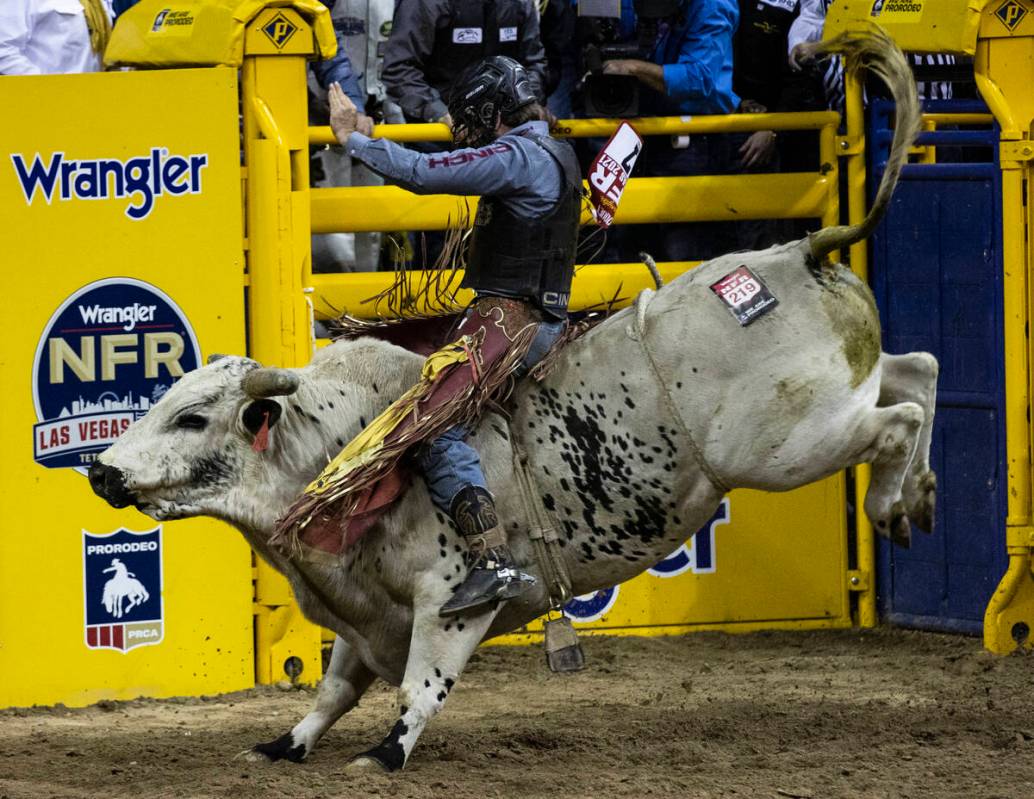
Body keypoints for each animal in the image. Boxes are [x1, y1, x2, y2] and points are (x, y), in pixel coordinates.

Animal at [90, 32, 938, 773]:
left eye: (193, 417)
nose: (102, 470)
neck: (331, 446)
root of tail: (804, 249)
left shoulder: (447, 602)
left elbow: (421, 683)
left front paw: (386, 752)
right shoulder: (363, 613)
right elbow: (332, 688)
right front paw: (284, 742)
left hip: (787, 444)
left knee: (898, 418)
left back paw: (890, 504)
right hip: (835, 398)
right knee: (919, 372)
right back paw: (919, 497)